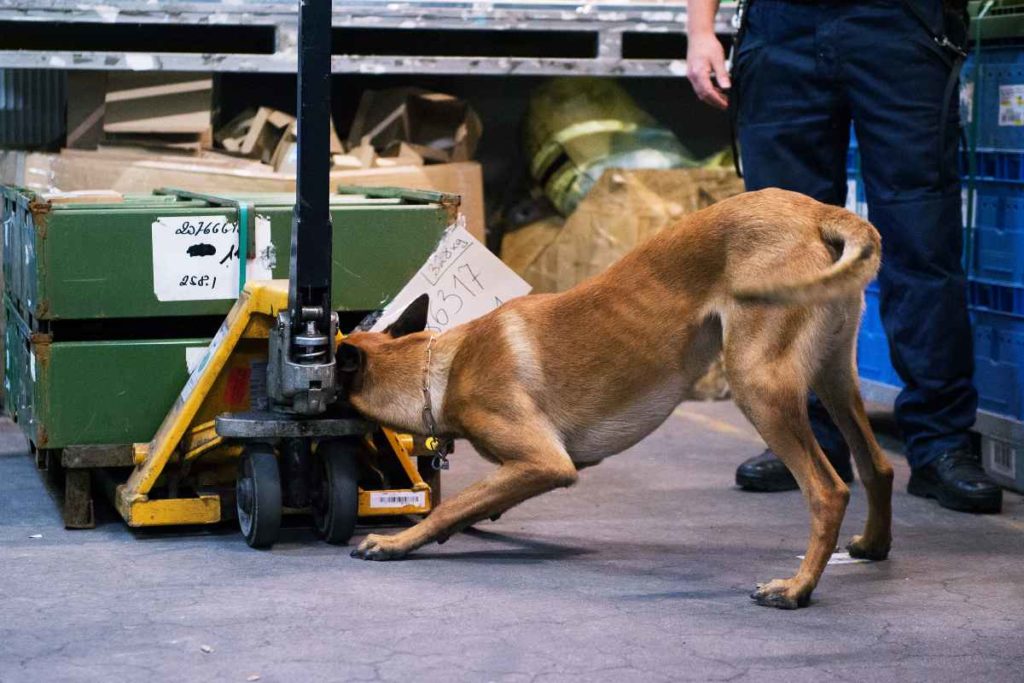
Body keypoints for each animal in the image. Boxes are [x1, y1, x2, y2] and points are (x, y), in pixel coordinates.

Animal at [339, 187, 892, 610]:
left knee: (828, 490)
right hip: (833, 377)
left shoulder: (545, 461)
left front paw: (395, 542)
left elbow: (447, 507)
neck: (442, 368)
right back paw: (873, 543)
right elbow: (473, 504)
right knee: (878, 465)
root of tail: (817, 211)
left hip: (759, 385)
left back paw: (795, 588)